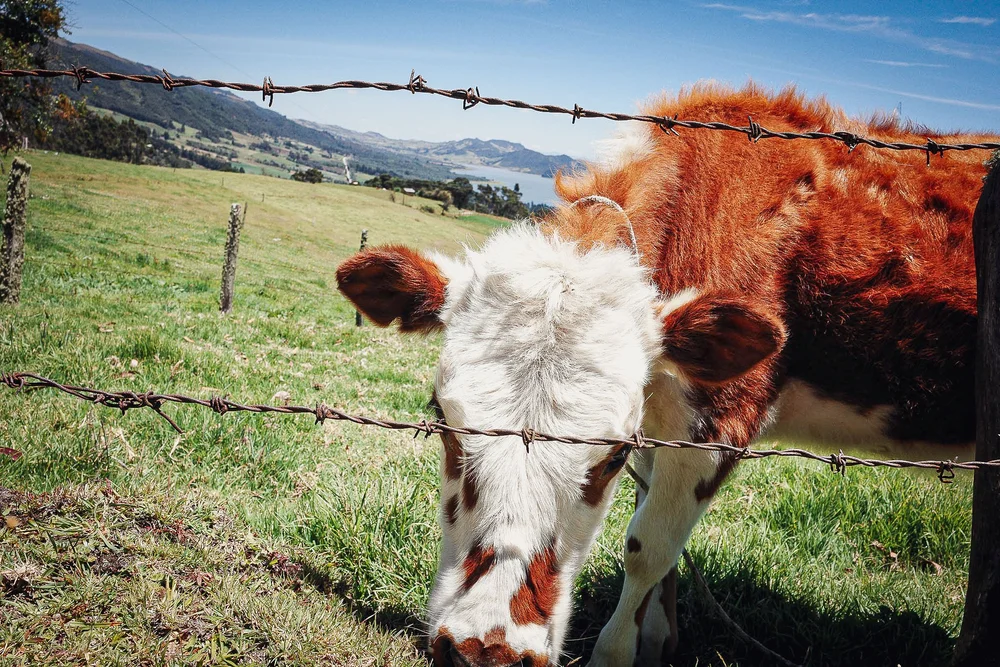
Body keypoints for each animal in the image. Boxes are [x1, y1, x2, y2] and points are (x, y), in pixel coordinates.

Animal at [335, 82, 996, 667]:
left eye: (610, 457)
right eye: (442, 419)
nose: (483, 650)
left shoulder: (721, 421)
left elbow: (647, 548)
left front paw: (615, 653)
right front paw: (656, 639)